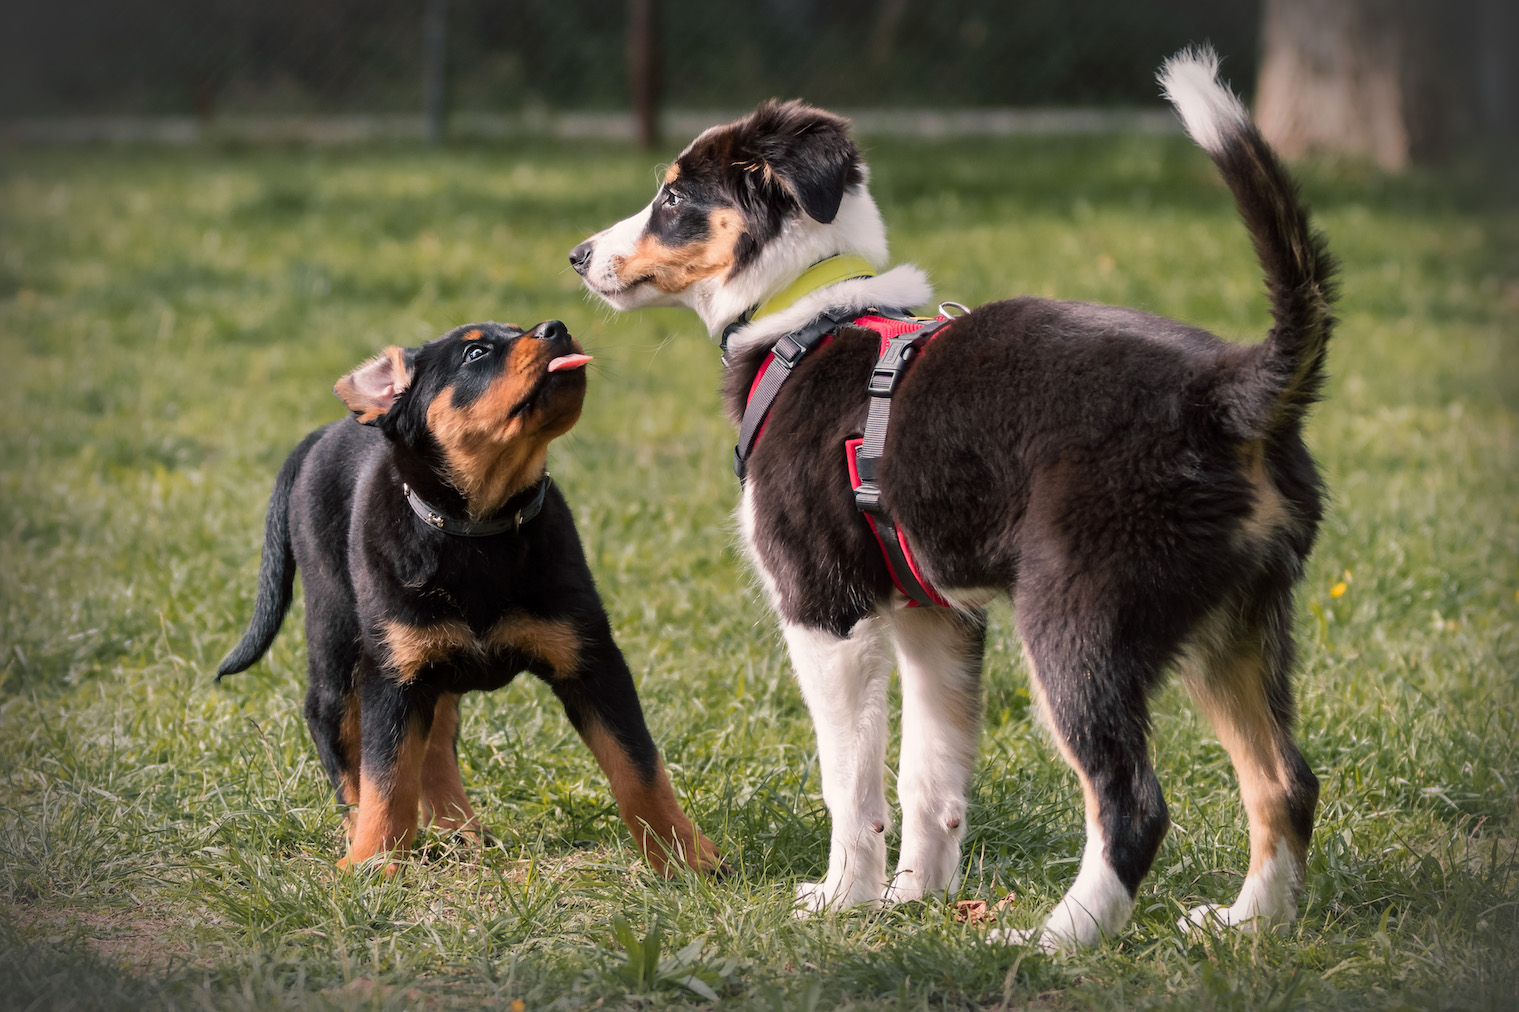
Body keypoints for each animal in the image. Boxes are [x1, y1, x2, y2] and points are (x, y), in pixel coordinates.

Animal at [217, 319, 726, 869]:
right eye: (475, 353)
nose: (556, 327)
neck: (480, 531)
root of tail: (320, 435)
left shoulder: (591, 658)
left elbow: (638, 767)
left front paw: (687, 858)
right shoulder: (393, 670)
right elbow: (386, 777)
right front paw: (373, 863)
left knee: (435, 739)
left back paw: (459, 830)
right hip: (338, 630)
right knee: (334, 727)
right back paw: (360, 832)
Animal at [571, 47, 1342, 948]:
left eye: (672, 199)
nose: (577, 256)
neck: (804, 317)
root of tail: (1225, 391)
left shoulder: (824, 610)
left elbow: (851, 784)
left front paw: (844, 900)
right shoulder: (935, 617)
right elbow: (928, 778)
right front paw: (914, 901)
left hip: (1077, 622)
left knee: (1132, 802)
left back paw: (1056, 942)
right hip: (1236, 627)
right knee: (1283, 780)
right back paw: (1248, 925)